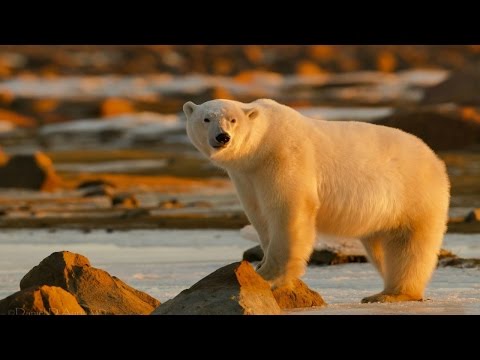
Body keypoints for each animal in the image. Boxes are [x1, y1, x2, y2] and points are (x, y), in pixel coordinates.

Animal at [183, 97, 450, 302]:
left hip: (413, 193)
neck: (261, 145)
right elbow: (259, 215)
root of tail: (435, 159)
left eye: (233, 120)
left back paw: (391, 294)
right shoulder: (247, 177)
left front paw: (267, 275)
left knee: (408, 245)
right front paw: (260, 266)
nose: (222, 137)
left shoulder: (284, 157)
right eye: (206, 119)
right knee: (381, 246)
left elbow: (289, 209)